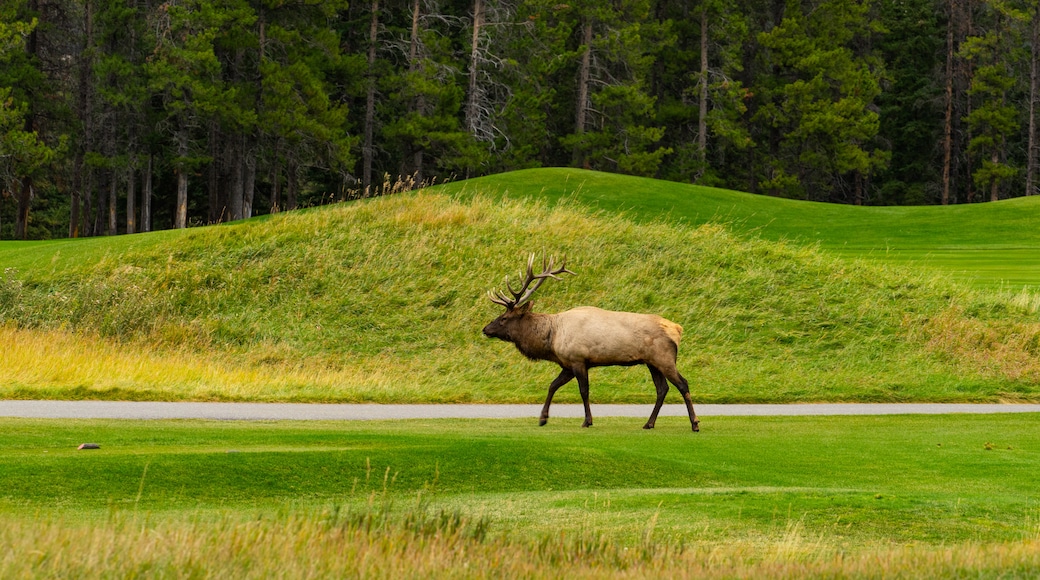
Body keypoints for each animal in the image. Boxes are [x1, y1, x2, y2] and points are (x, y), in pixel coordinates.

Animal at [484, 254, 698, 432]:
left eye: (503, 318)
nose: (485, 329)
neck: (552, 339)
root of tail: (677, 329)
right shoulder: (567, 364)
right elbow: (553, 385)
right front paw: (543, 418)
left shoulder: (578, 359)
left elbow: (584, 391)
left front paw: (587, 421)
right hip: (652, 362)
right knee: (662, 389)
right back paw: (649, 423)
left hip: (664, 358)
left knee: (682, 384)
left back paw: (694, 423)